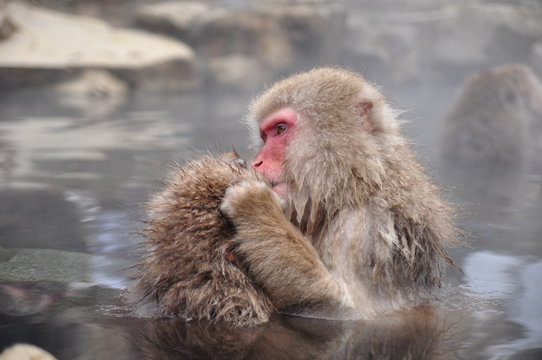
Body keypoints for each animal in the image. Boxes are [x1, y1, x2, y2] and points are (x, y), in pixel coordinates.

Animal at [221, 66, 460, 320]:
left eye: (280, 129)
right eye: (264, 137)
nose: (257, 162)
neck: (353, 187)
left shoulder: (363, 227)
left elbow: (346, 309)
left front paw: (255, 206)